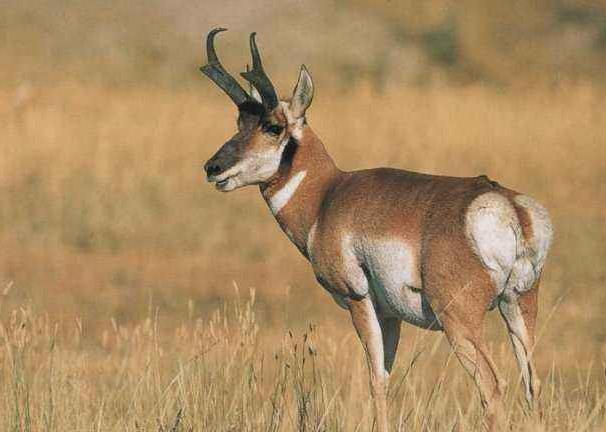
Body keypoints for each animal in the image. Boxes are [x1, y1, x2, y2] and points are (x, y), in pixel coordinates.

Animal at [200, 28, 553, 431]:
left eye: (273, 126)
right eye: (239, 124)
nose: (212, 167)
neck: (328, 195)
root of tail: (509, 207)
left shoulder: (359, 300)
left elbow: (376, 380)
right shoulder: (390, 315)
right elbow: (386, 376)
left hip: (460, 319)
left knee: (493, 386)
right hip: (519, 306)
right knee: (532, 383)